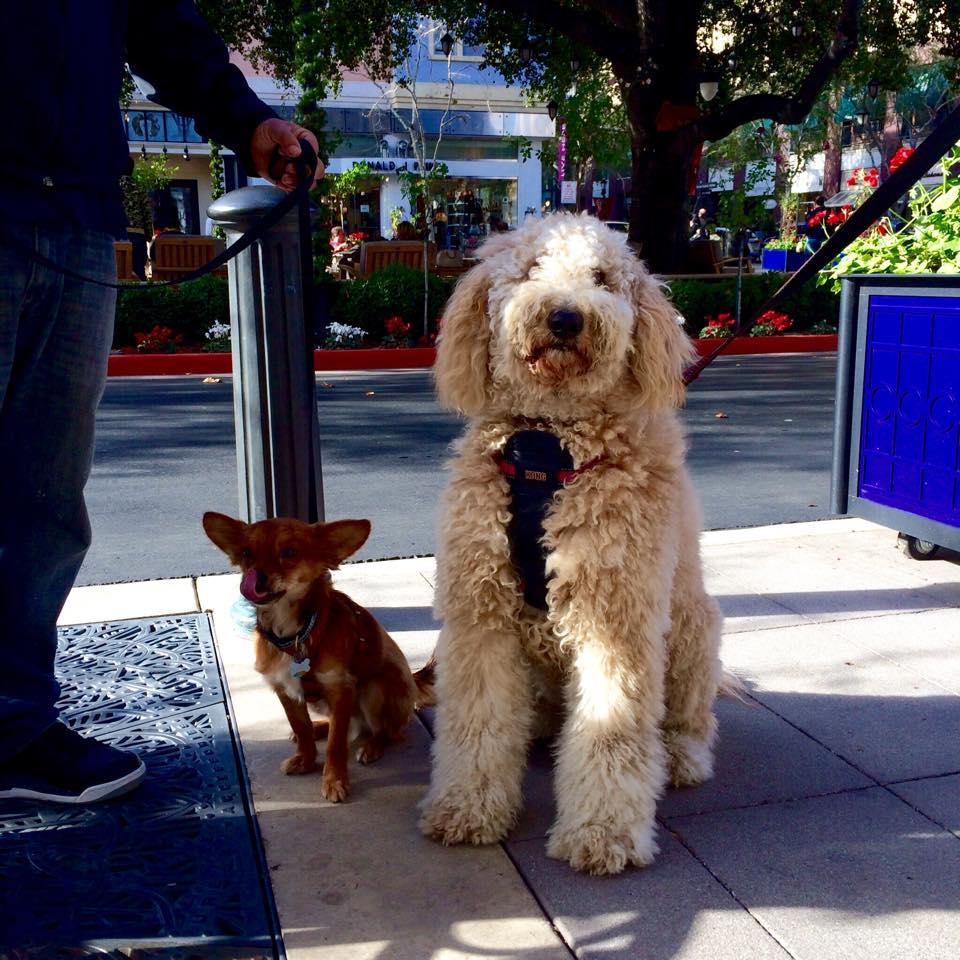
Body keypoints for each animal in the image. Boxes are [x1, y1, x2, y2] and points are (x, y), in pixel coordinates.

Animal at [202, 510, 436, 804]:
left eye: (289, 552)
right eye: (247, 553)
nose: (256, 578)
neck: (295, 633)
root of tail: (413, 681)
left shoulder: (342, 688)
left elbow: (337, 743)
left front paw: (334, 780)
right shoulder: (285, 689)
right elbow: (301, 728)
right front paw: (306, 758)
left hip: (376, 688)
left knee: (383, 731)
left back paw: (372, 746)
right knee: (347, 725)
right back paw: (319, 727)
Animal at [416, 212, 724, 876]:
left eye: (603, 277)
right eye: (531, 269)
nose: (564, 316)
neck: (548, 447)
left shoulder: (615, 619)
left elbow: (610, 734)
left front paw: (603, 833)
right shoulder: (481, 617)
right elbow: (477, 722)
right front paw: (468, 808)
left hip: (692, 628)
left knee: (689, 719)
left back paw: (680, 757)